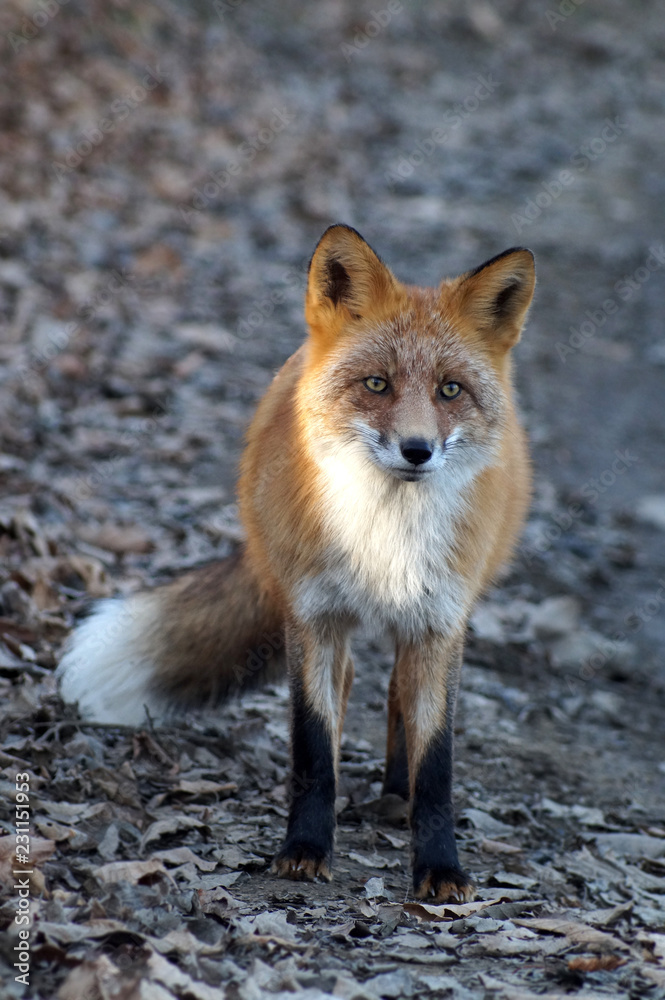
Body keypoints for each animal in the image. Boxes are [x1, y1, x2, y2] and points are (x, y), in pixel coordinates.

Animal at [58, 224, 535, 903]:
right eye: (377, 384)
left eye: (450, 389)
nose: (417, 450)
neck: (383, 534)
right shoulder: (313, 615)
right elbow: (311, 742)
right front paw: (306, 847)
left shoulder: (441, 623)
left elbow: (437, 762)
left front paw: (440, 865)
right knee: (349, 689)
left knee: (395, 693)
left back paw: (396, 797)